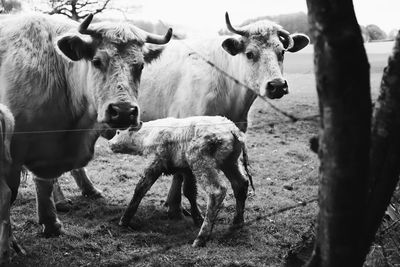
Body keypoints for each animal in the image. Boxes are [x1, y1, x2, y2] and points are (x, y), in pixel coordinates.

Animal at [109, 116, 253, 248]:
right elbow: (189, 192)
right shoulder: (186, 170)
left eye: (118, 132)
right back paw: (237, 222)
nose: (109, 143)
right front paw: (197, 218)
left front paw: (125, 219)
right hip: (230, 162)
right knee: (241, 184)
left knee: (216, 191)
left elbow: (141, 188)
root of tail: (232, 129)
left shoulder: (155, 162)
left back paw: (201, 237)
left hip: (202, 163)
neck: (146, 135)